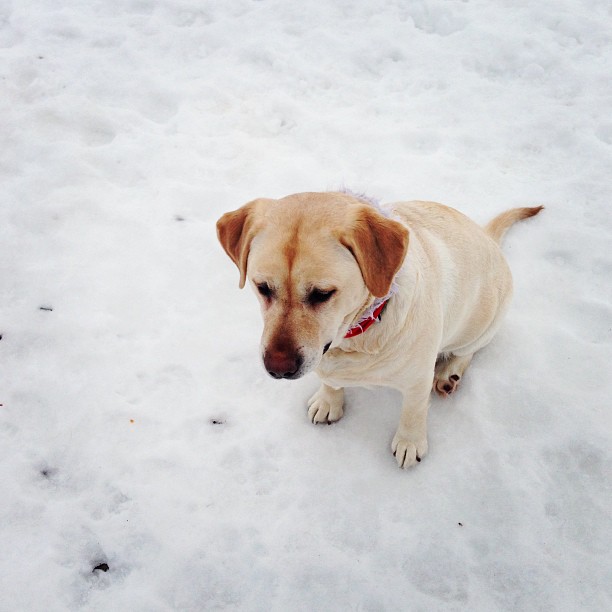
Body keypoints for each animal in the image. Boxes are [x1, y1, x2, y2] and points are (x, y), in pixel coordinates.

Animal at [215, 191, 540, 468]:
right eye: (262, 287)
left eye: (322, 294)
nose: (278, 368)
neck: (359, 332)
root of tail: (487, 237)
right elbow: (330, 380)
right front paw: (329, 401)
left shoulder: (417, 380)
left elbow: (413, 410)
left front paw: (410, 442)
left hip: (483, 322)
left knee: (468, 351)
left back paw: (449, 374)